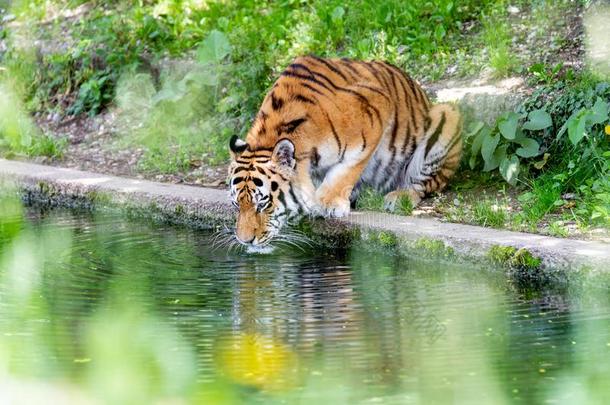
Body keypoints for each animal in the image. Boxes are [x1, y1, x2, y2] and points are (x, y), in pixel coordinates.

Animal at [228, 55, 460, 248]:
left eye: (263, 205)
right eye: (237, 205)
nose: (244, 241)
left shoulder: (376, 111)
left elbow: (346, 170)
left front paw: (328, 203)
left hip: (446, 114)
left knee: (421, 185)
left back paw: (398, 198)